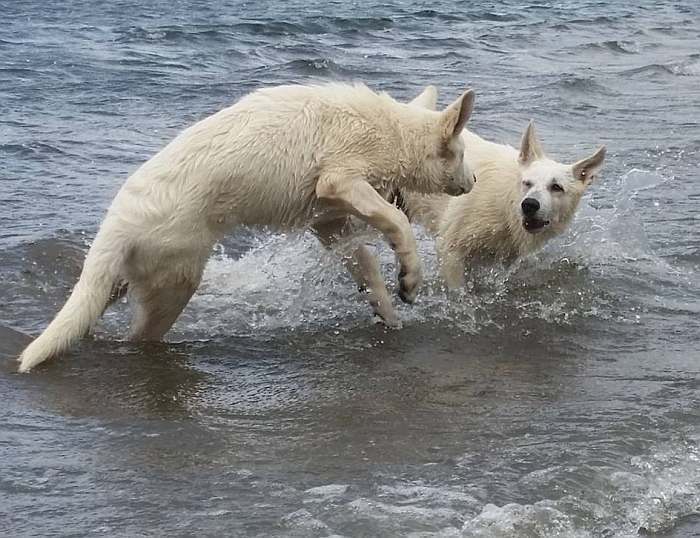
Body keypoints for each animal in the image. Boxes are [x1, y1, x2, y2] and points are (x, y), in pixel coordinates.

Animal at [17, 82, 476, 368]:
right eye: (462, 153)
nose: (473, 182)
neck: (393, 133)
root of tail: (117, 224)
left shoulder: (329, 221)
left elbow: (365, 264)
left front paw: (387, 310)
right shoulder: (339, 179)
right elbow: (395, 220)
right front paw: (410, 277)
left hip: (123, 281)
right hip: (175, 284)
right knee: (140, 335)